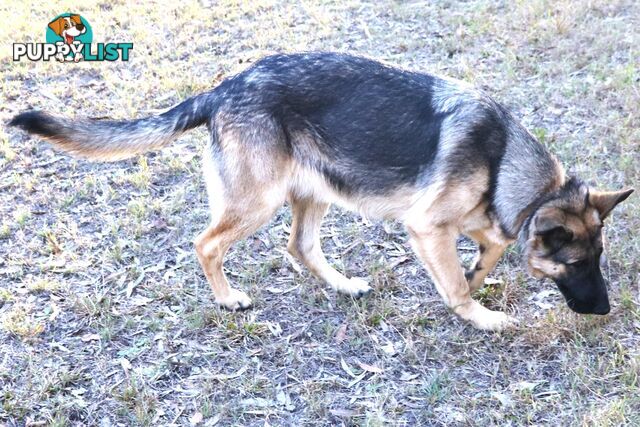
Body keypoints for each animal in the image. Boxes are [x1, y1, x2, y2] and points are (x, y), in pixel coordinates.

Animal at [11, 51, 636, 332]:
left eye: (598, 259)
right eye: (576, 264)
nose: (606, 310)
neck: (502, 158)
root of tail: (224, 87)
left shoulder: (472, 221)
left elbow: (491, 247)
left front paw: (480, 273)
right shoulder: (427, 225)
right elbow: (459, 283)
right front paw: (478, 313)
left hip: (315, 191)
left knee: (300, 247)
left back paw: (342, 285)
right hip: (258, 202)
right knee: (206, 244)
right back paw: (228, 298)